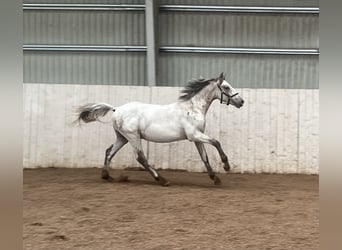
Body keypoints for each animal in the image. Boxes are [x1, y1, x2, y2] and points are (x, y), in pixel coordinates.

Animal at [76, 72, 244, 186]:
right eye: (226, 87)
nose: (241, 101)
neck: (193, 108)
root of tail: (116, 109)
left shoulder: (197, 137)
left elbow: (205, 158)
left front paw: (216, 179)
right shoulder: (194, 135)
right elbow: (216, 142)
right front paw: (226, 166)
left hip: (122, 137)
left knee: (109, 152)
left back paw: (107, 176)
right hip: (133, 136)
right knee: (140, 157)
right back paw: (162, 180)